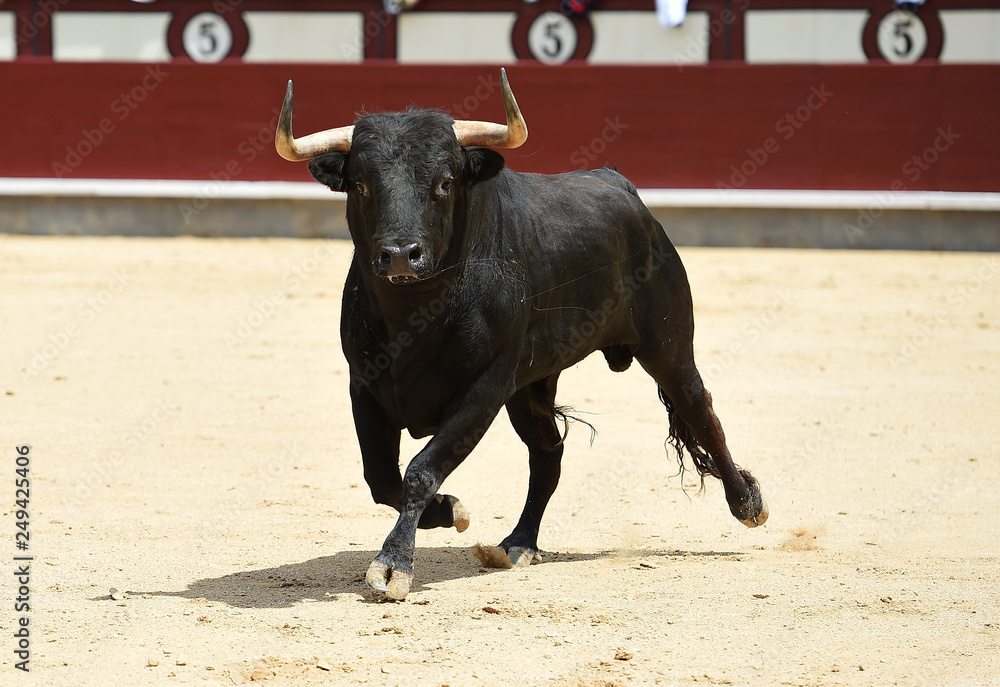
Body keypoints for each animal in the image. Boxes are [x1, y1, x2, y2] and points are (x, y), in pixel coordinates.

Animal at [292, 101, 768, 596]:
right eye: (361, 184)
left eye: (444, 182)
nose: (402, 254)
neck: (415, 315)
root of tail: (620, 184)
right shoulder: (365, 385)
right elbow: (382, 478)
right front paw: (449, 510)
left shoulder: (484, 387)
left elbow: (421, 470)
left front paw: (393, 564)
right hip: (530, 387)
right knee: (547, 455)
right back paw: (520, 541)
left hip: (668, 346)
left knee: (700, 410)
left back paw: (748, 503)